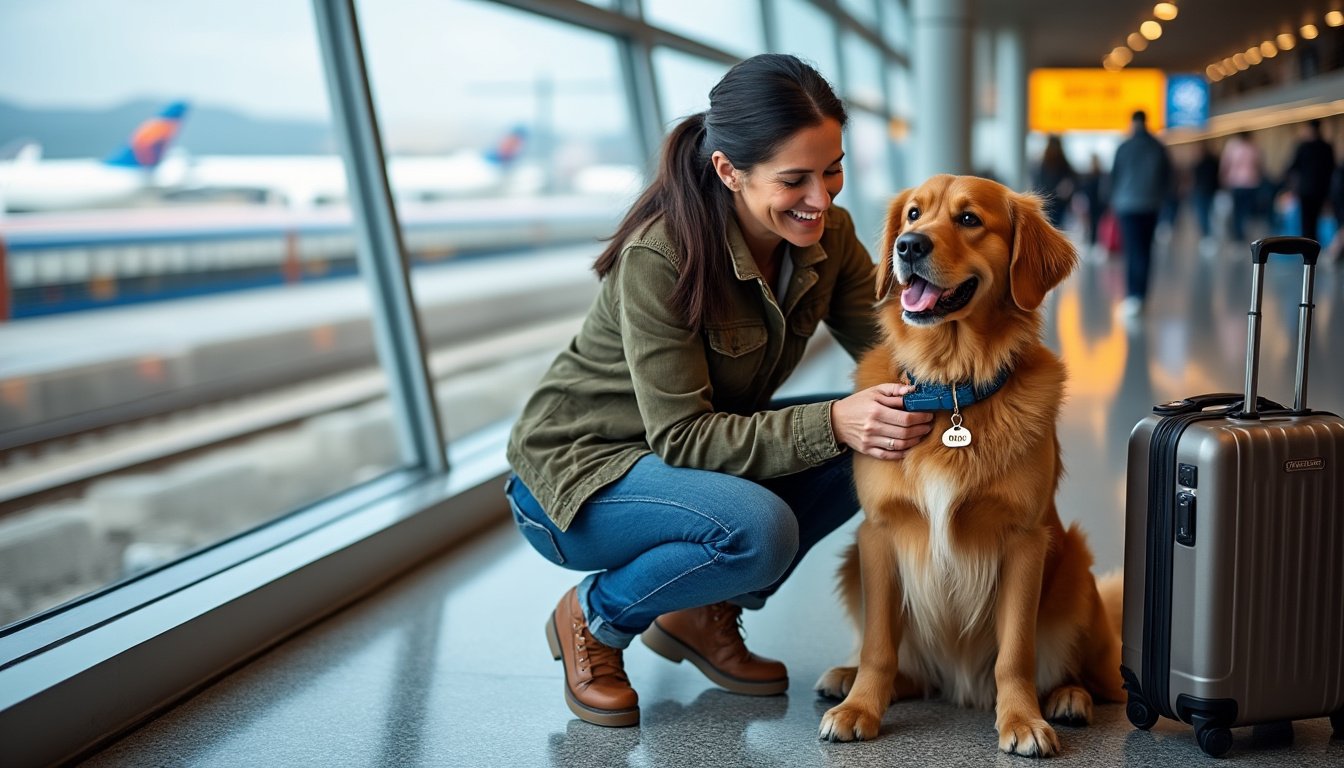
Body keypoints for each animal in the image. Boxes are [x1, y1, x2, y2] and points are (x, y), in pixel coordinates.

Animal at [817, 174, 1123, 758]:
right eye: (913, 215)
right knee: (911, 671)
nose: (908, 247)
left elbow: (1016, 654)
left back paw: (1069, 697)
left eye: (969, 219)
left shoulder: (1025, 540)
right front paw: (862, 707)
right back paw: (850, 680)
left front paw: (1021, 719)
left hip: (1074, 565)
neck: (952, 388)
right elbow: (878, 646)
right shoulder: (878, 532)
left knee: (1091, 679)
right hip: (849, 564)